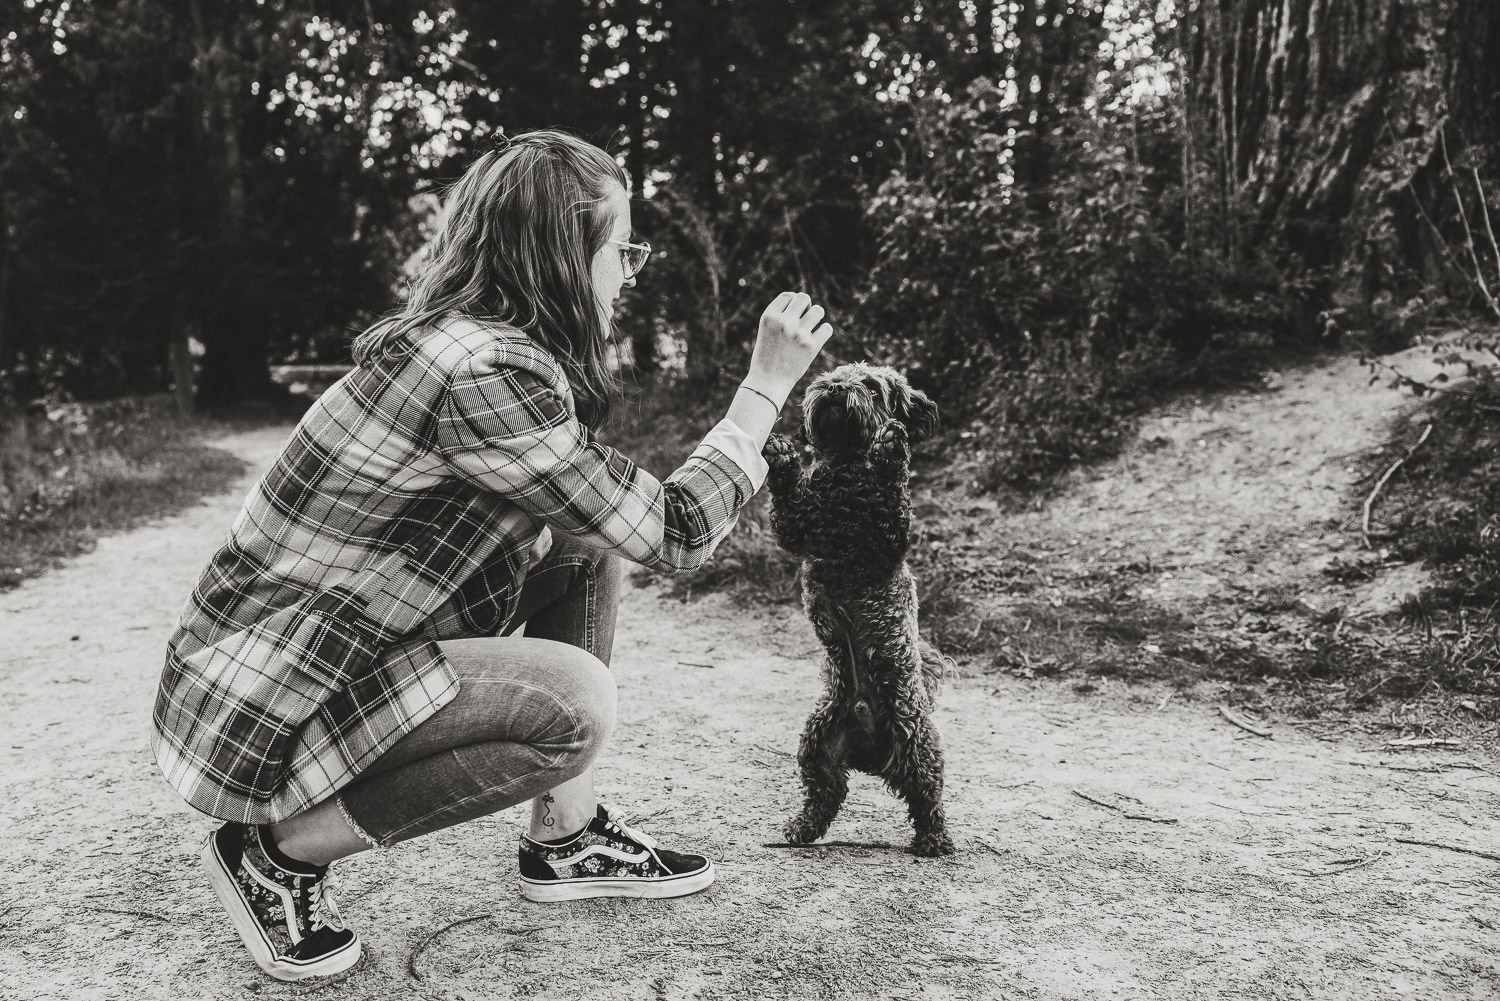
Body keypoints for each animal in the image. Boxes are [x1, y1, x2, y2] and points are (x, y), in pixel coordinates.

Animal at [762, 364, 960, 858]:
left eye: (872, 386)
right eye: (830, 375)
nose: (835, 388)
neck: (848, 467)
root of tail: (871, 754)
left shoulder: (887, 538)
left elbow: (891, 489)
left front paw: (891, 447)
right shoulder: (801, 525)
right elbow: (787, 503)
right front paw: (781, 455)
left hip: (917, 740)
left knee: (926, 795)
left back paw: (935, 839)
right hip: (816, 741)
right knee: (827, 794)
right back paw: (801, 828)